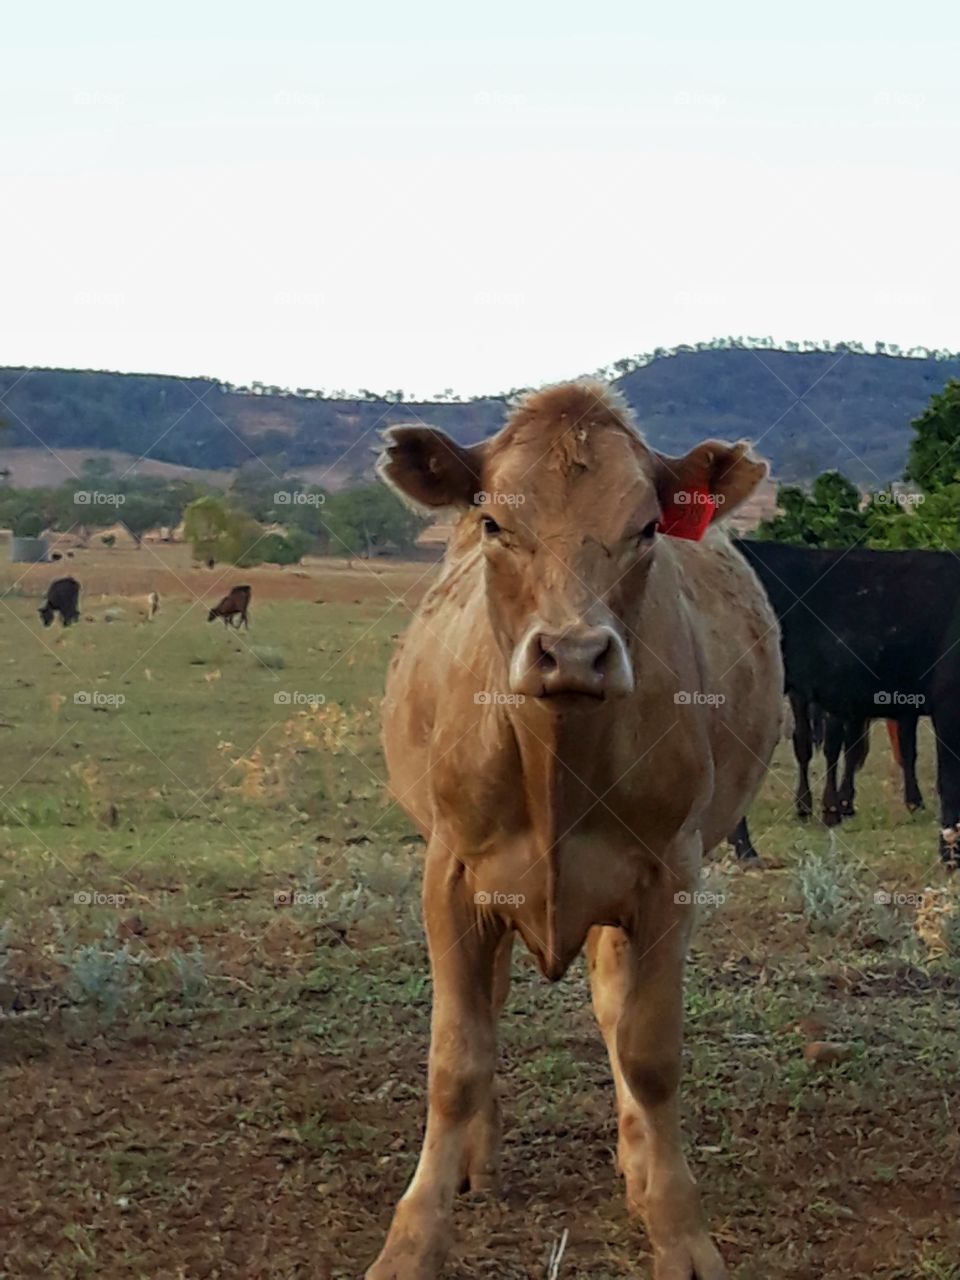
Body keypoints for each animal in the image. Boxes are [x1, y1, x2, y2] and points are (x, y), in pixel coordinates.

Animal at [367, 382, 782, 1280]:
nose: (573, 653)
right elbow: (456, 1059)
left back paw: (636, 1163)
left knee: (613, 1009)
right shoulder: (450, 876)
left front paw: (677, 1227)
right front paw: (412, 1239)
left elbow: (648, 1051)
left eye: (648, 528)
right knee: (489, 1007)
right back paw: (475, 1157)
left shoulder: (670, 876)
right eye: (494, 523)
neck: (556, 760)